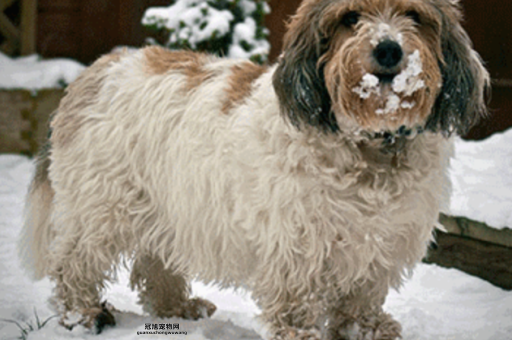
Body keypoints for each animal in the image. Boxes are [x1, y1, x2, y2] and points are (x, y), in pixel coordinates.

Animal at [18, 0, 488, 338]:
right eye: (350, 17)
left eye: (415, 15)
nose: (388, 50)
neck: (369, 145)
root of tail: (95, 71)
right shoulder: (299, 243)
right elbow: (297, 300)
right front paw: (299, 334)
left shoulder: (380, 244)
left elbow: (362, 298)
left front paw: (367, 330)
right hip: (101, 207)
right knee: (74, 264)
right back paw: (83, 315)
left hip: (166, 207)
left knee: (155, 263)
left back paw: (177, 308)